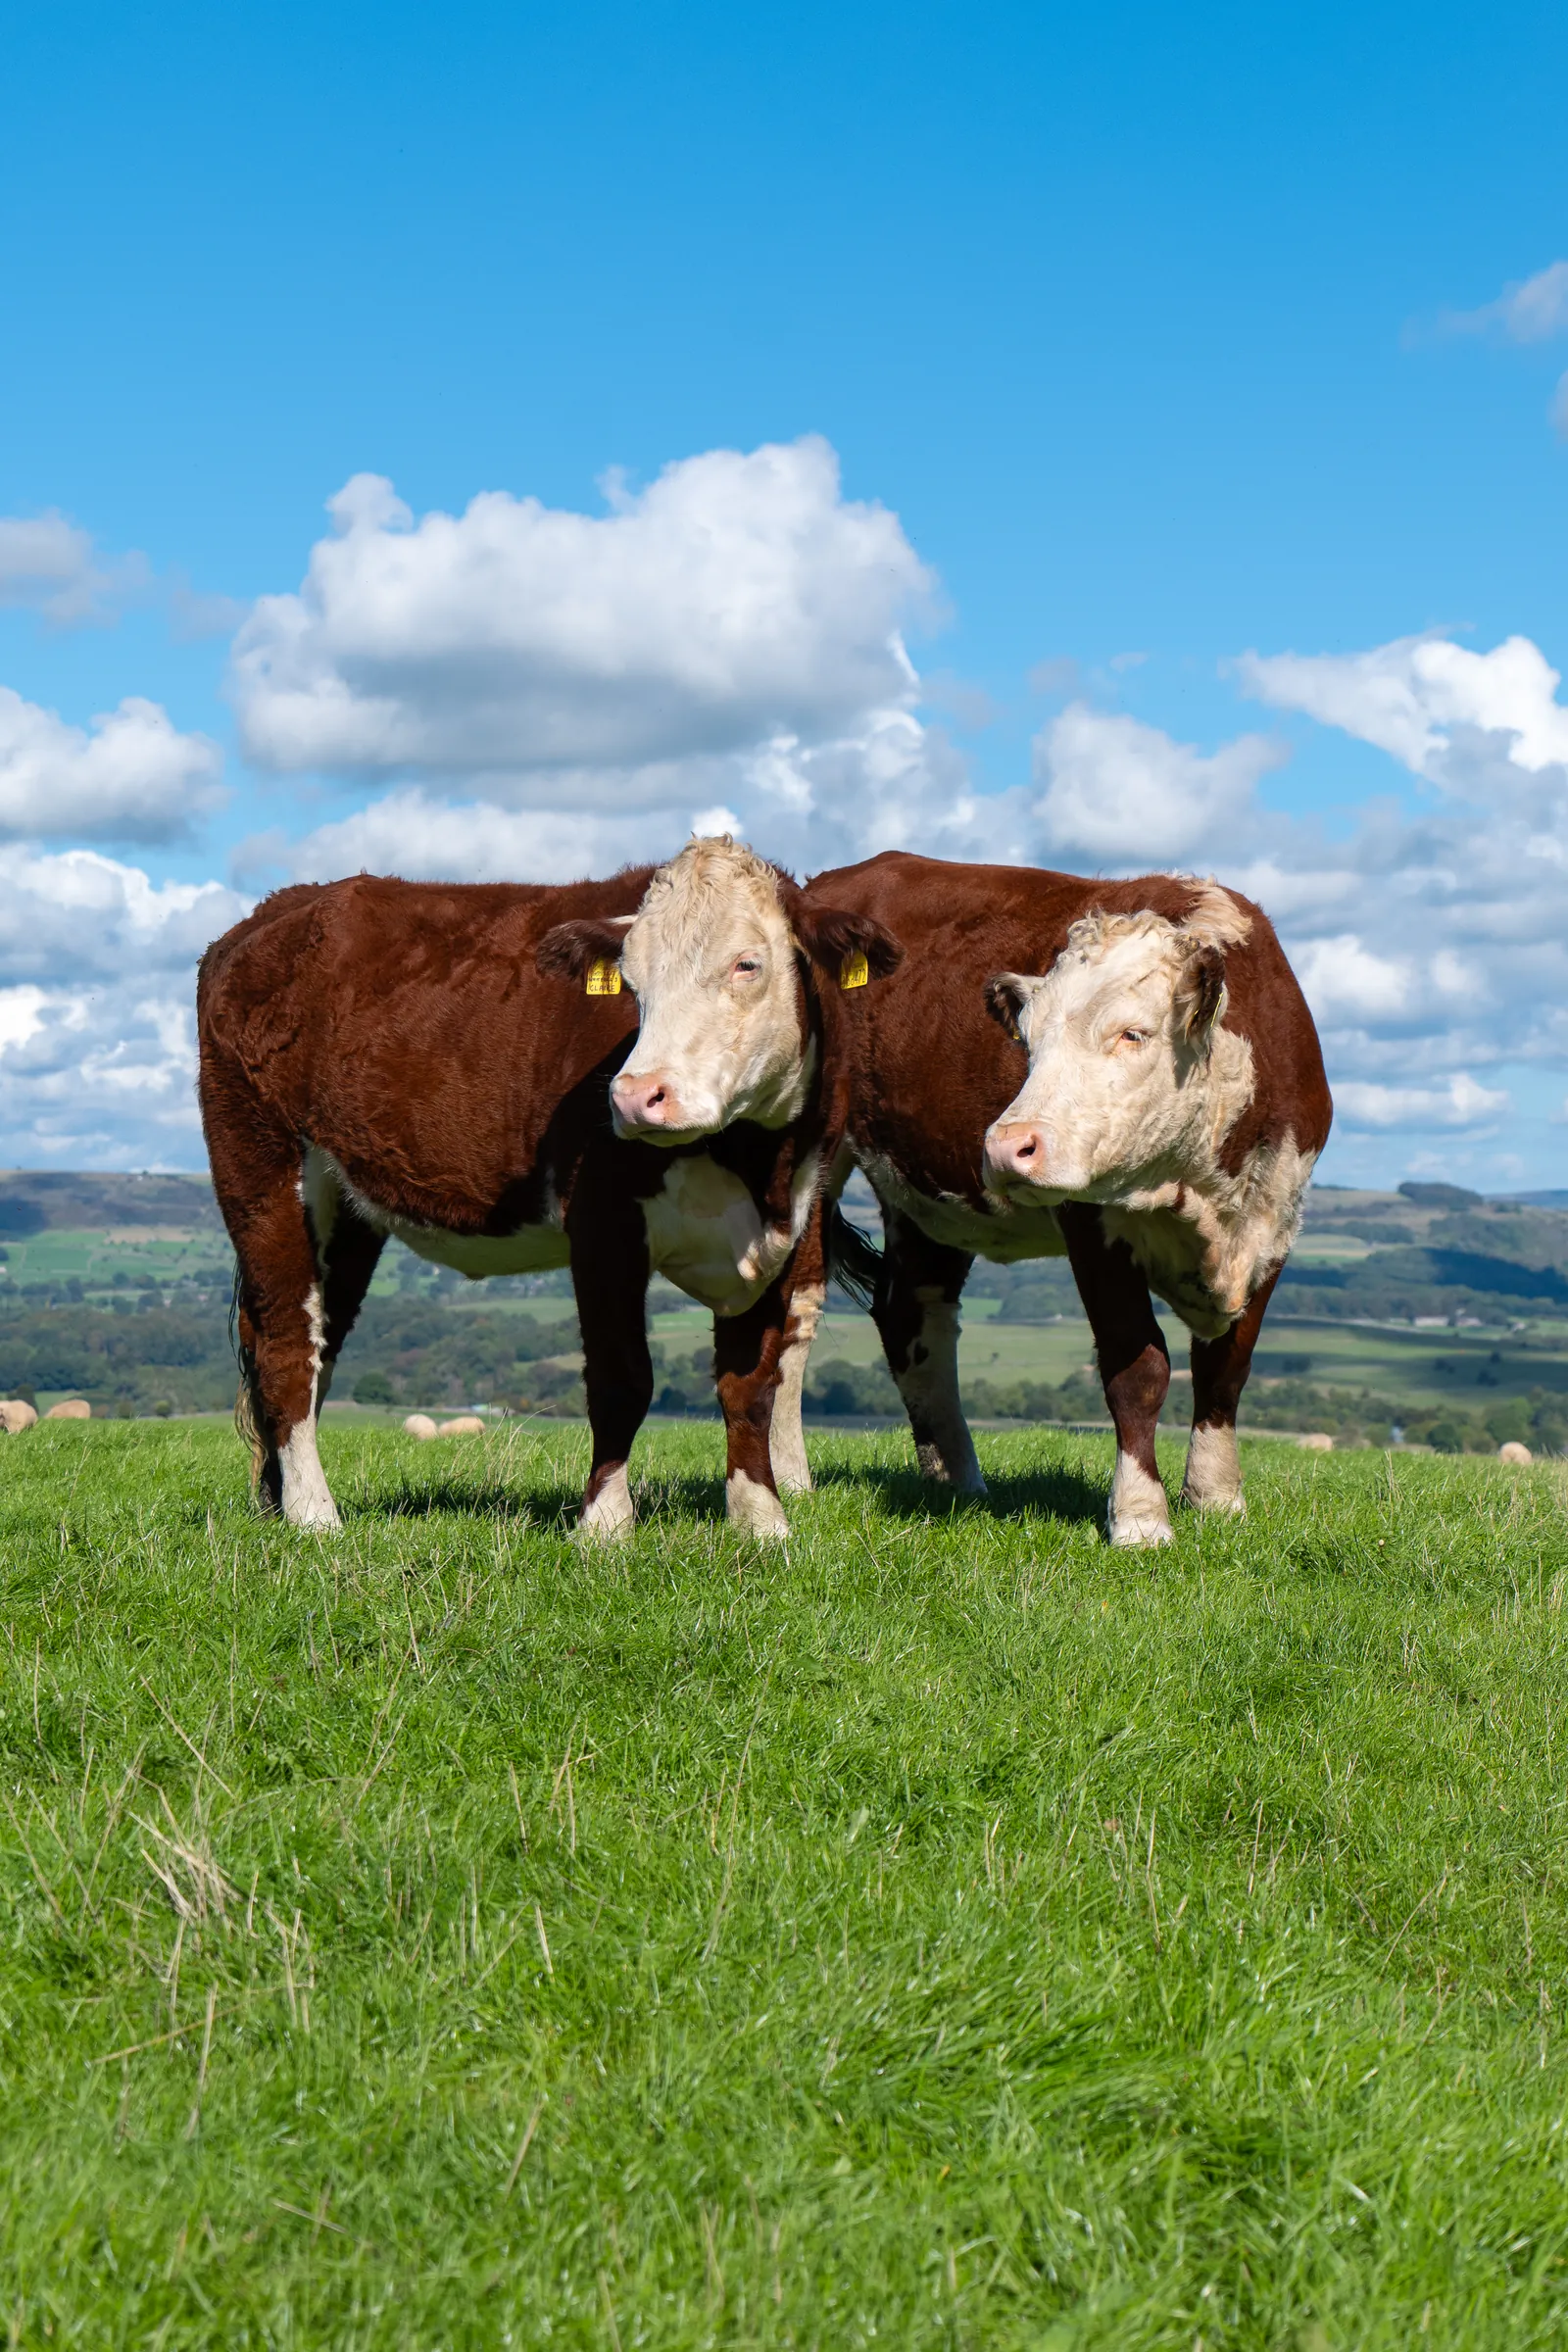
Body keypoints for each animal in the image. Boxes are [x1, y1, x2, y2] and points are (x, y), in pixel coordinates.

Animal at [196, 837, 900, 1539]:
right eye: (632, 983)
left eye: (747, 964)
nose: (635, 1096)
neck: (754, 1162)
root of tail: (281, 908)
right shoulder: (601, 1221)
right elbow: (622, 1378)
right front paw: (605, 1525)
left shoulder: (785, 1229)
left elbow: (750, 1382)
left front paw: (761, 1521)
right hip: (261, 1172)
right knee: (288, 1346)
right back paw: (315, 1516)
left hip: (345, 1212)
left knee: (316, 1338)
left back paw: (276, 1500)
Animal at [773, 853, 1331, 1546]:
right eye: (1027, 1043)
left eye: (1133, 1034)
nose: (1006, 1146)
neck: (1197, 1181)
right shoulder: (1091, 1224)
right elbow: (1138, 1368)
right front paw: (1141, 1518)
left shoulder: (1271, 1226)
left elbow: (1226, 1368)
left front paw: (1216, 1498)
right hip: (810, 1157)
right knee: (795, 1310)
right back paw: (790, 1475)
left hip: (927, 1197)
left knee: (912, 1315)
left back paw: (957, 1479)